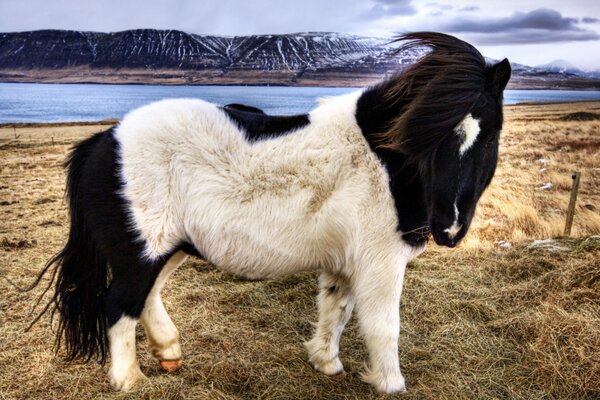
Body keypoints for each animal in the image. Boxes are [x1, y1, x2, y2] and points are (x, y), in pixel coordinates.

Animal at [34, 32, 510, 394]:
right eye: (428, 134)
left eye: (490, 136)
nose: (449, 228)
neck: (383, 162)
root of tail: (104, 141)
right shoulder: (381, 263)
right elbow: (382, 326)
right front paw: (390, 385)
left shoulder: (345, 262)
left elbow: (336, 310)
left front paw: (325, 362)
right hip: (142, 253)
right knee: (119, 306)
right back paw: (129, 380)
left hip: (167, 249)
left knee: (146, 296)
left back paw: (168, 352)